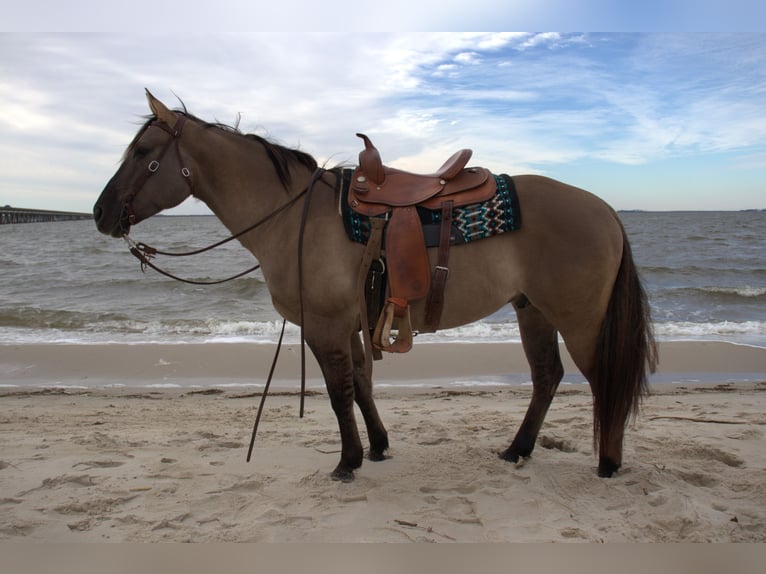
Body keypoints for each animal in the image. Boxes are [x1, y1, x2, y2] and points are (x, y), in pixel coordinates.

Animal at [94, 91, 657, 482]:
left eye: (143, 151)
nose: (100, 213)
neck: (294, 217)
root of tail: (606, 210)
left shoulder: (323, 327)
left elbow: (339, 391)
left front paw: (348, 460)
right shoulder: (349, 324)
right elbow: (362, 384)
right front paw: (379, 446)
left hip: (579, 319)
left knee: (601, 378)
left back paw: (608, 462)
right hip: (531, 310)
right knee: (546, 377)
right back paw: (517, 449)